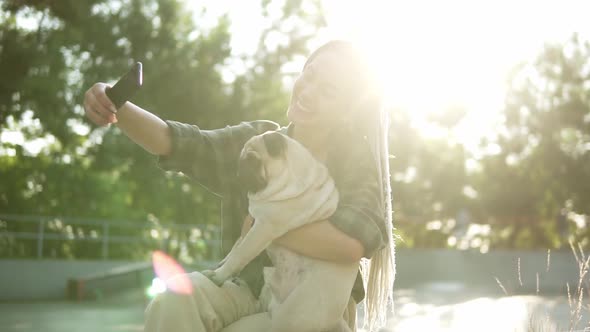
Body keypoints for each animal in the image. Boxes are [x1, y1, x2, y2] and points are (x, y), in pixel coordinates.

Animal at [206, 131, 358, 330]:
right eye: (240, 159)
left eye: (253, 160)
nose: (240, 170)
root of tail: (337, 320)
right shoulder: (253, 224)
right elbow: (236, 246)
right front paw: (221, 264)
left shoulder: (262, 229)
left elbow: (240, 254)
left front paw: (219, 275)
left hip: (292, 316)